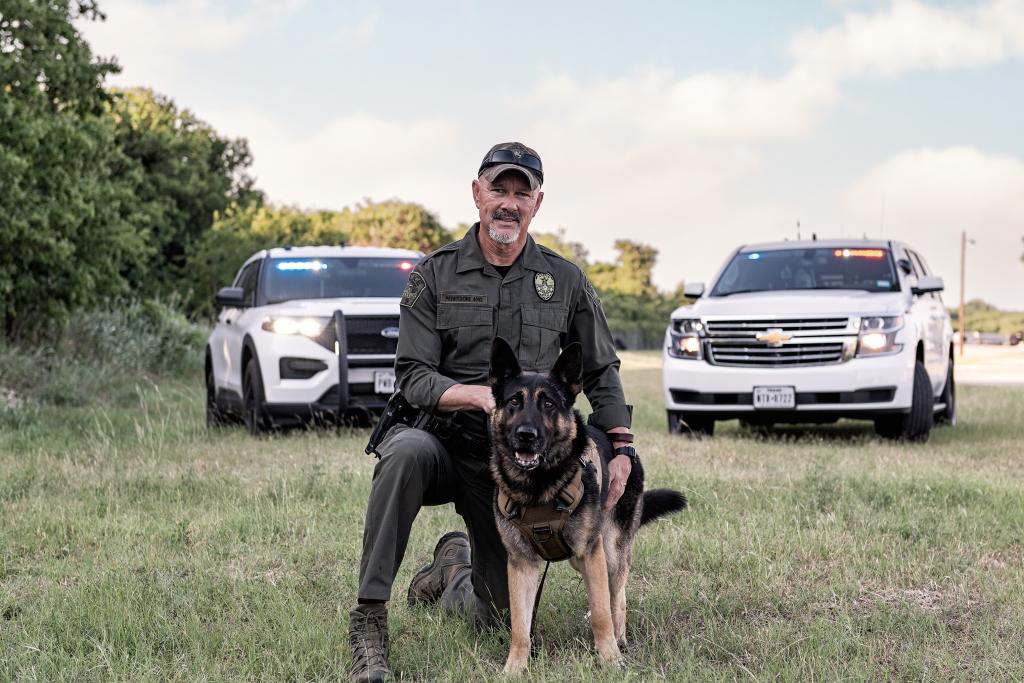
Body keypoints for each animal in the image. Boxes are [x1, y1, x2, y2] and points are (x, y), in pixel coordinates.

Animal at [485, 335, 684, 671]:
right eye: (514, 401)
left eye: (548, 403)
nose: (526, 435)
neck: (539, 487)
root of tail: (627, 449)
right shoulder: (521, 564)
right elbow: (520, 625)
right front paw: (514, 668)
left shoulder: (592, 553)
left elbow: (603, 613)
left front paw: (610, 659)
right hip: (584, 558)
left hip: (609, 551)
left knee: (616, 598)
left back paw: (619, 638)